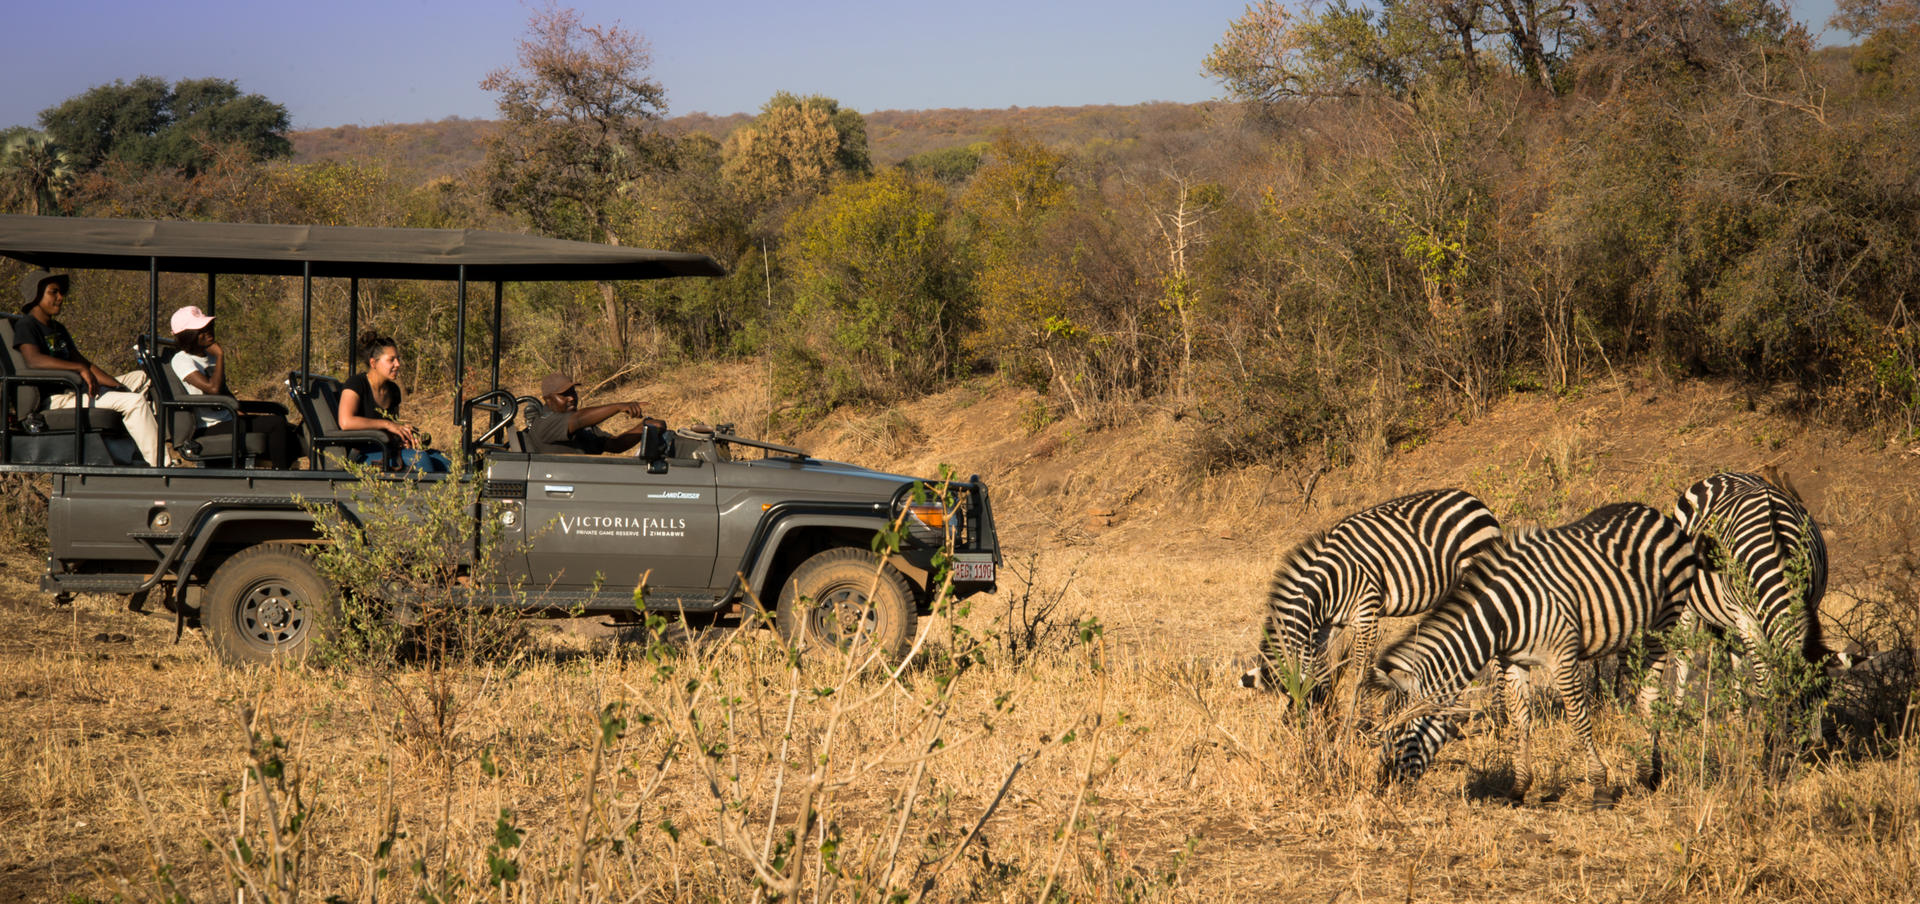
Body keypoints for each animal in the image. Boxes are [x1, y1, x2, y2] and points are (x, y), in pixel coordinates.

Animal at [1236, 487, 1505, 713]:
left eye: (1303, 690)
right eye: (1286, 695)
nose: (1298, 726)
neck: (1331, 582)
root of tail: (1471, 498)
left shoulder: (1368, 612)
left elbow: (1361, 669)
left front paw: (1359, 720)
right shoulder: (1329, 626)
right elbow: (1327, 664)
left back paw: (1499, 712)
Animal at [1367, 502, 1697, 806]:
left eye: (1399, 732)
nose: (1382, 785)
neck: (1501, 615)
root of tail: (1653, 511)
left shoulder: (1563, 658)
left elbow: (1578, 718)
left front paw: (1600, 787)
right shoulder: (1513, 661)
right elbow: (1520, 720)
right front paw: (1518, 788)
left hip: (1663, 622)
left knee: (1649, 695)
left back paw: (1646, 775)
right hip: (1631, 630)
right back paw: (1652, 770)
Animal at [1681, 470, 1827, 690]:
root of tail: (1722, 474)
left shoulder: (1811, 604)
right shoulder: (1745, 618)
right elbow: (1765, 681)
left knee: (1734, 662)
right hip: (1691, 606)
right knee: (1683, 655)